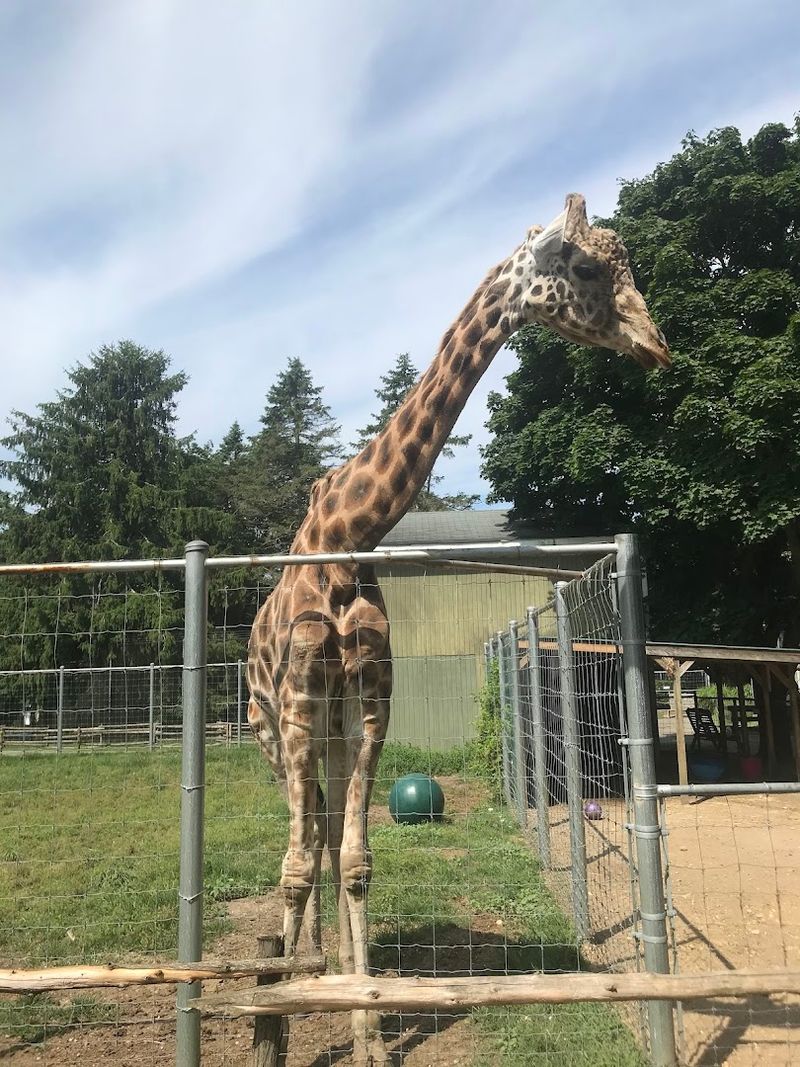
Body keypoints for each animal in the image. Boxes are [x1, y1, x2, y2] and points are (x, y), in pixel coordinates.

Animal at [246, 193, 670, 1064]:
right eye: (584, 265)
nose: (658, 345)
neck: (350, 531)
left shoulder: (369, 701)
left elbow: (356, 858)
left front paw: (369, 1035)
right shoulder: (299, 704)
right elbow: (296, 864)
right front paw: (287, 1009)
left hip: (330, 728)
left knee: (328, 828)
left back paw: (324, 965)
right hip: (270, 727)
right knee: (298, 837)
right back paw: (298, 966)